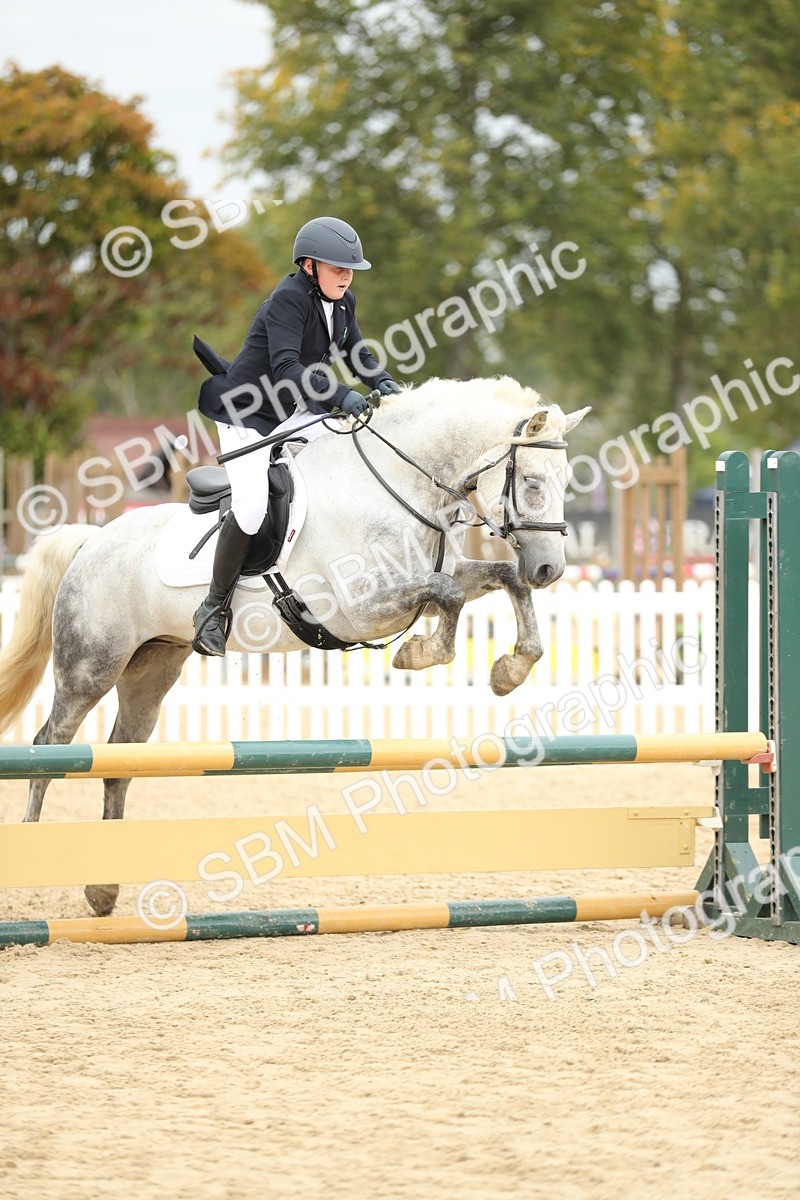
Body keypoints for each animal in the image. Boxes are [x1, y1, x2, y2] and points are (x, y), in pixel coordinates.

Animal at [0, 376, 588, 915]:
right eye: (531, 481)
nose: (550, 570)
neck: (398, 485)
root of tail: (90, 538)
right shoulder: (360, 609)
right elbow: (448, 595)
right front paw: (422, 653)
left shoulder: (432, 580)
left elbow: (498, 579)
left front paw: (510, 669)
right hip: (91, 667)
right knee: (50, 745)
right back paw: (34, 854)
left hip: (152, 668)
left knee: (120, 756)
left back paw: (103, 890)